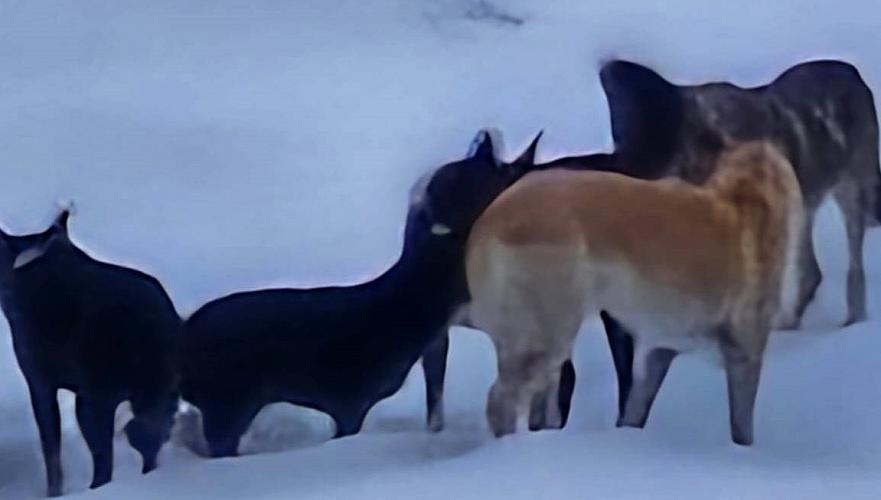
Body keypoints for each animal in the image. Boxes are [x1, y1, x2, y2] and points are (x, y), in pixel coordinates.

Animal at [0, 208, 179, 496]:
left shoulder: (39, 383)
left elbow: (52, 456)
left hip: (93, 400)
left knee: (106, 463)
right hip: (158, 394)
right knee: (149, 443)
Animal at [468, 141, 804, 446]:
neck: (746, 196)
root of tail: (487, 223)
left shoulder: (660, 349)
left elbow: (634, 411)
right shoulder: (745, 351)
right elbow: (742, 429)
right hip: (548, 333)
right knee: (500, 402)